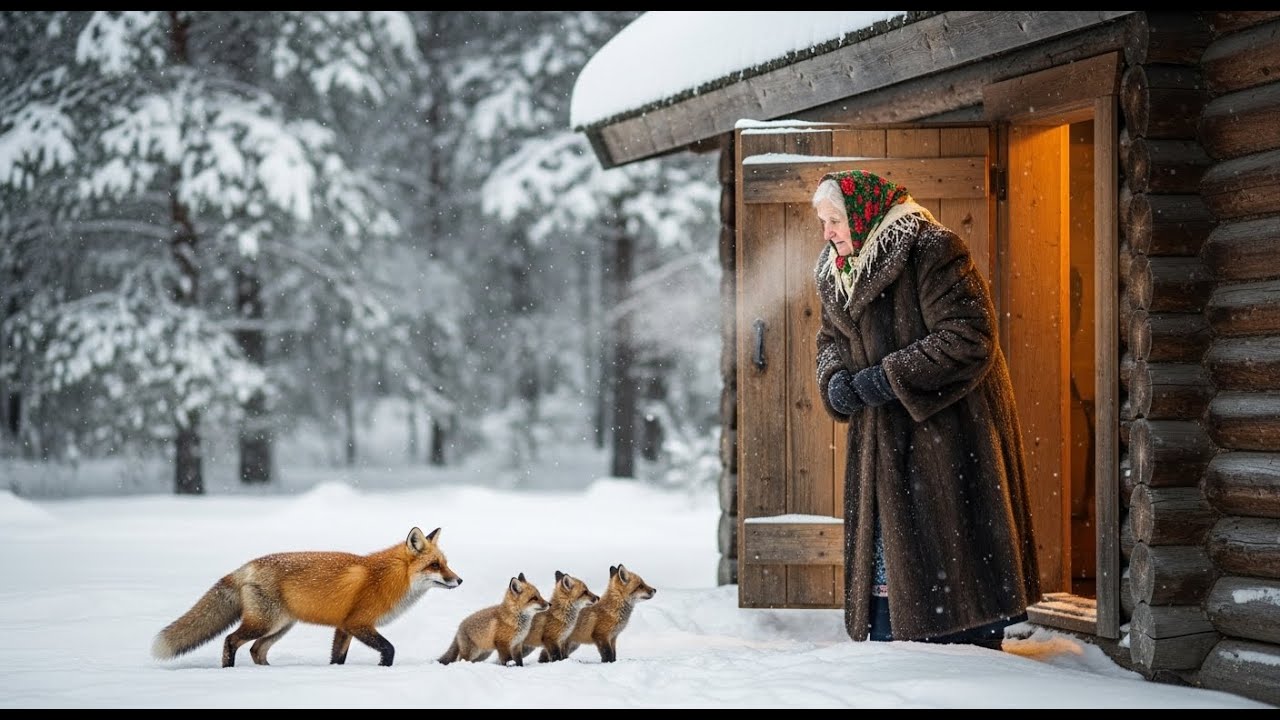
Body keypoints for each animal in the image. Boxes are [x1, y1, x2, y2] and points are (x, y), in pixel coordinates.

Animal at [151, 526, 462, 668]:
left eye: (446, 563)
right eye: (435, 565)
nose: (459, 580)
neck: (389, 578)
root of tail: (247, 565)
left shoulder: (343, 627)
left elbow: (337, 659)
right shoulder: (358, 623)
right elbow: (389, 649)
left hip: (281, 627)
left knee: (256, 650)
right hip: (265, 623)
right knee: (231, 640)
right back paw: (229, 671)